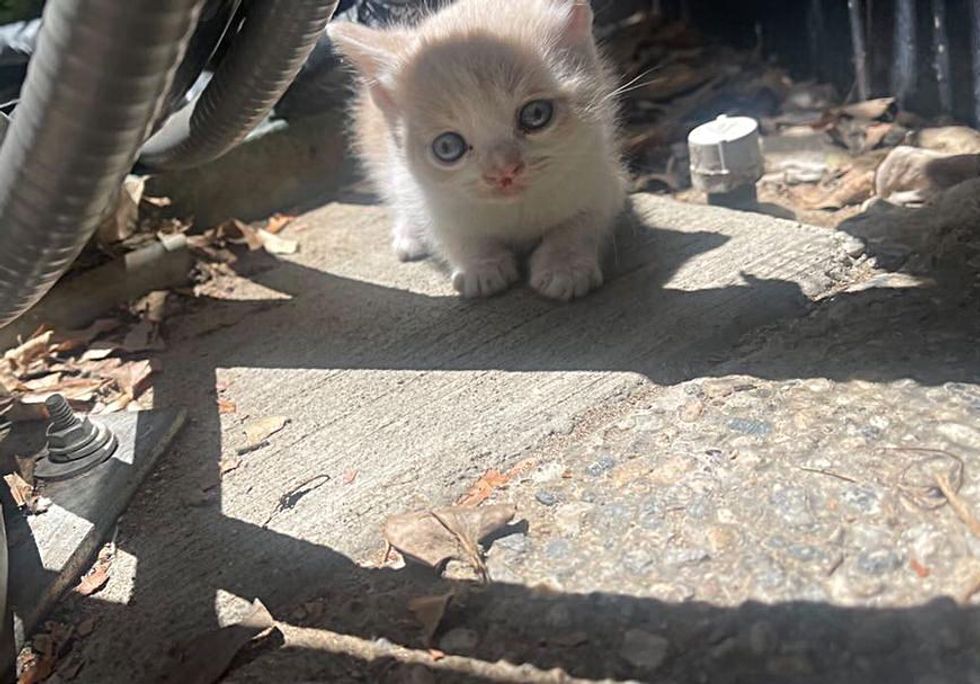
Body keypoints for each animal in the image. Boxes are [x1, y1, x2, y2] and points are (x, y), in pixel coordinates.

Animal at [326, 0, 624, 300]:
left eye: (536, 114)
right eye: (447, 146)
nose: (504, 171)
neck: (515, 209)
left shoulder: (603, 173)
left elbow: (582, 221)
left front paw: (564, 266)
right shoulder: (429, 196)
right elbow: (454, 234)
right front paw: (481, 266)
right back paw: (408, 234)